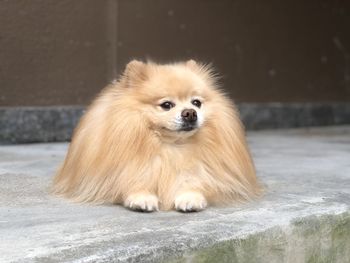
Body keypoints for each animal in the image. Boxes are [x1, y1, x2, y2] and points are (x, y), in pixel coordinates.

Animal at [52, 59, 260, 212]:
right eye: (166, 105)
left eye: (196, 103)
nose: (190, 113)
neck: (171, 145)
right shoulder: (129, 169)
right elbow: (135, 180)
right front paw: (141, 197)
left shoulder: (201, 171)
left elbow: (193, 180)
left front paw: (190, 197)